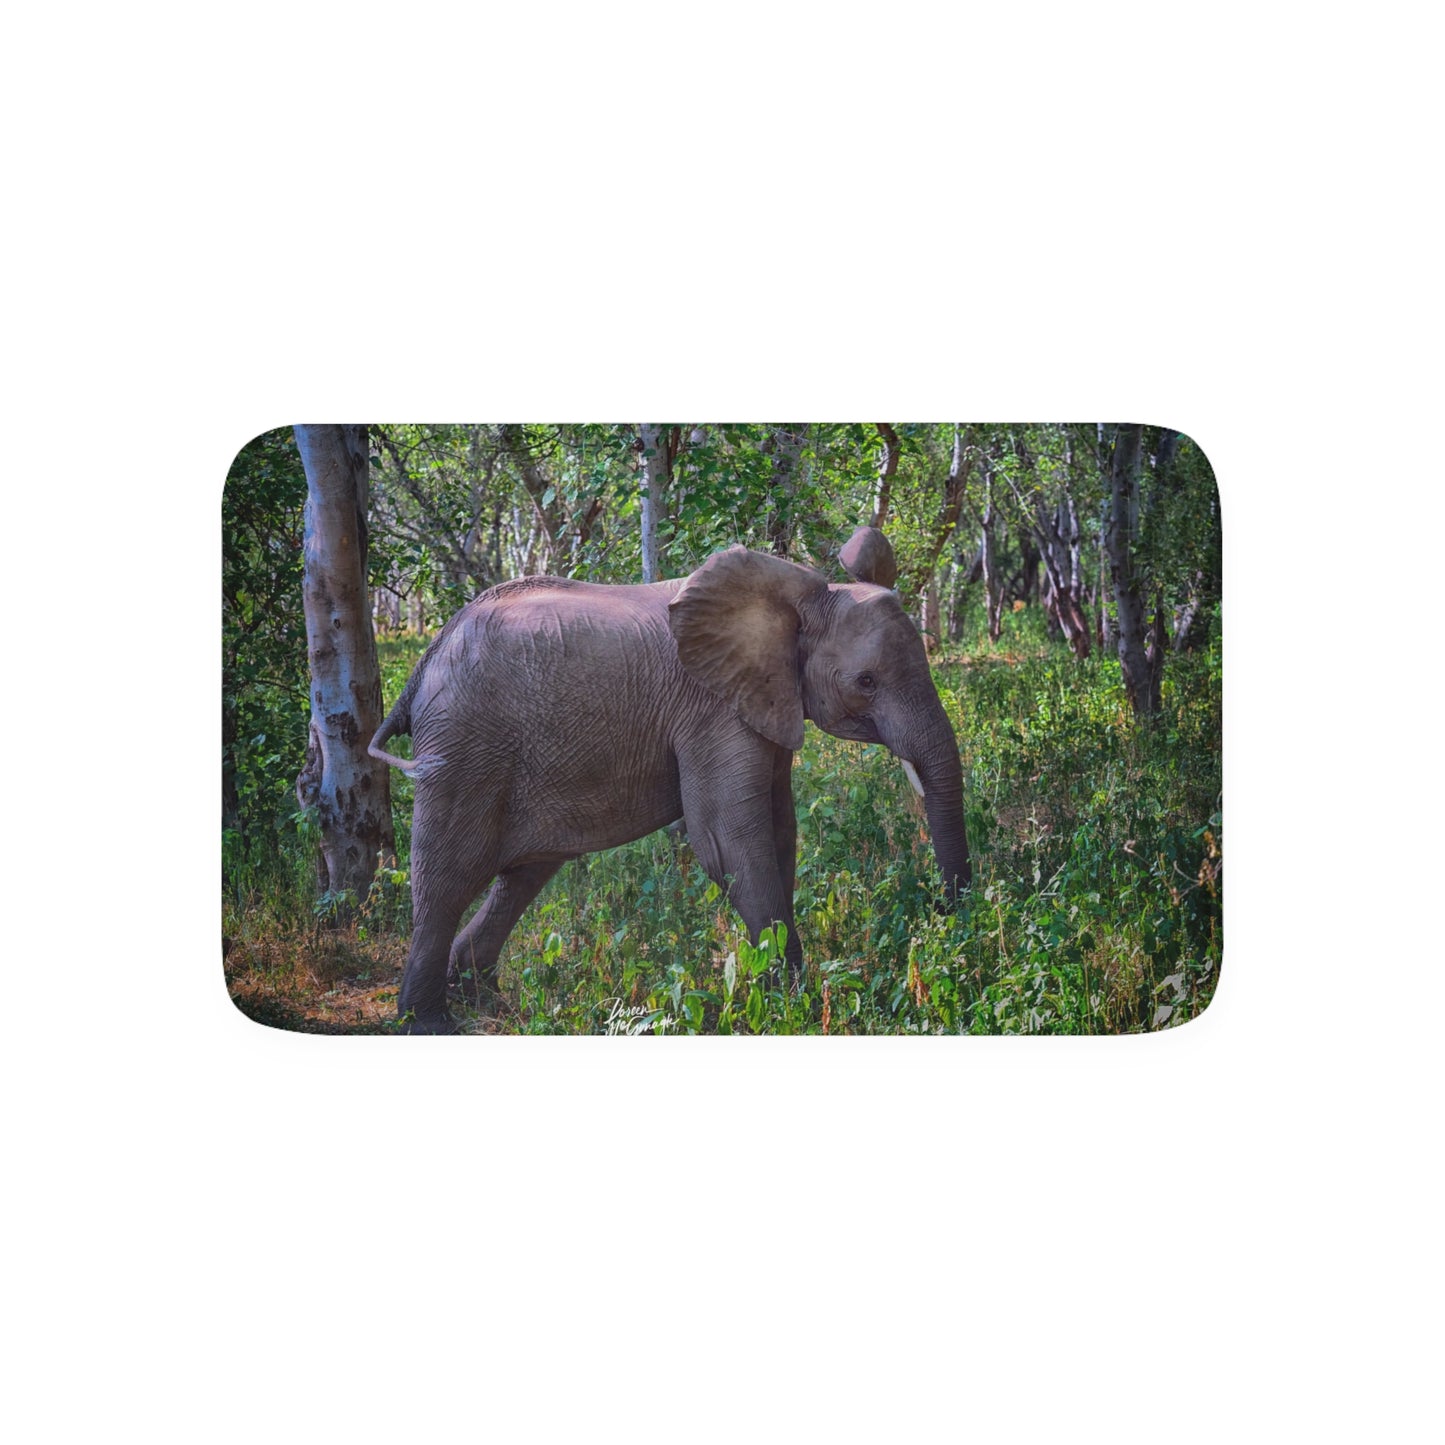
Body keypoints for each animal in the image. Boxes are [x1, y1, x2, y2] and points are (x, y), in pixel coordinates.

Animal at [369, 526, 971, 1032]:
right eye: (866, 682)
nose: (946, 917)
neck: (798, 599)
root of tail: (427, 659)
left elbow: (779, 831)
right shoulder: (712, 708)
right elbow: (727, 839)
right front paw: (789, 1003)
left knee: (524, 874)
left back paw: (482, 999)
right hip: (466, 745)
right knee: (448, 877)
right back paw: (428, 1023)